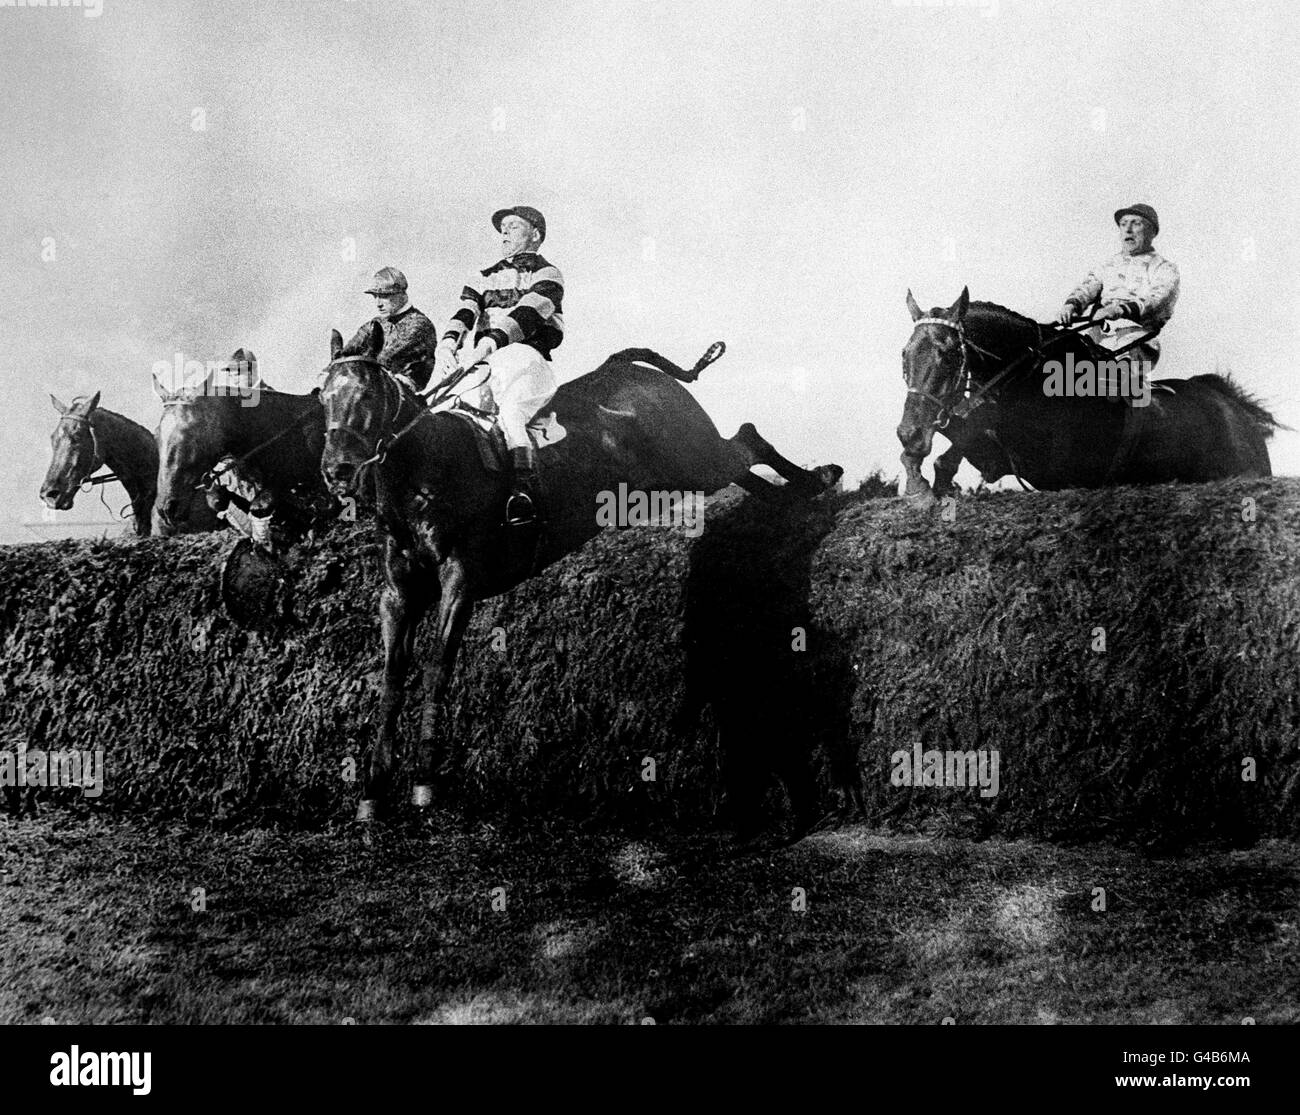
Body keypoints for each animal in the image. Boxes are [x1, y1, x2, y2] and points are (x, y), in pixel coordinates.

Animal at [322, 320, 842, 816]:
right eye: (324, 398)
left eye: (366, 395)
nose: (336, 470)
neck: (423, 477)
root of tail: (624, 368)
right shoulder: (398, 597)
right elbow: (392, 681)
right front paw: (372, 789)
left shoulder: (460, 582)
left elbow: (436, 670)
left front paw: (425, 780)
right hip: (680, 472)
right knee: (744, 466)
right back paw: (794, 494)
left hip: (694, 457)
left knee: (747, 439)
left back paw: (820, 477)